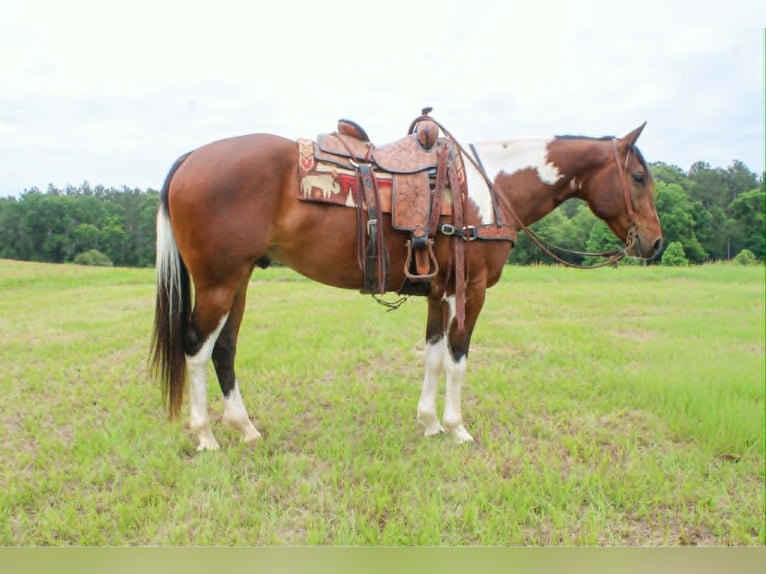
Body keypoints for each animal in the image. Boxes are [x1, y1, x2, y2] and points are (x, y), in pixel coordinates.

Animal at [150, 113, 663, 451]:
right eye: (638, 176)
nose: (655, 243)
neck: (490, 190)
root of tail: (191, 157)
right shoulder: (469, 291)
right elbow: (458, 359)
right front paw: (457, 428)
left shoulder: (439, 292)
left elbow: (433, 357)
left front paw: (430, 423)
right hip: (218, 283)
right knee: (196, 348)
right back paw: (206, 436)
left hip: (237, 282)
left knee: (224, 349)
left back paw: (245, 428)